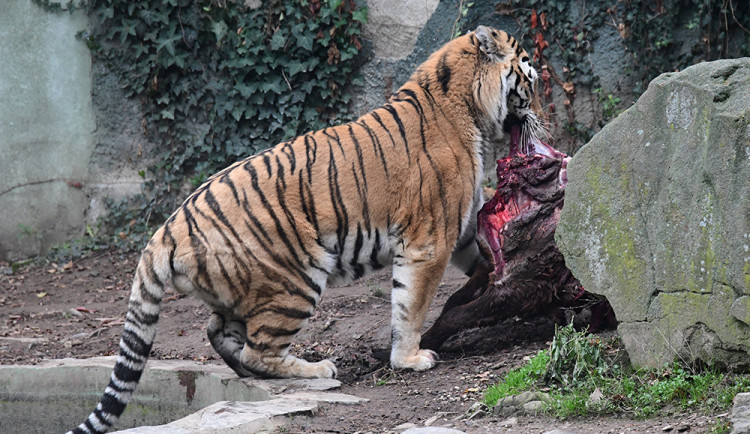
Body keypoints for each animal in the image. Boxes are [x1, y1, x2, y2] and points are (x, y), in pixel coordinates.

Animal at [70, 25, 544, 432]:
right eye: (531, 79)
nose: (541, 116)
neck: (466, 107)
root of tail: (167, 229)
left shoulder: (457, 228)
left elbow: (481, 259)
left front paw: (494, 279)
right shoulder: (430, 239)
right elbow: (410, 306)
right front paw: (411, 359)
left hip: (242, 289)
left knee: (220, 333)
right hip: (296, 278)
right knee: (259, 349)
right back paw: (318, 368)